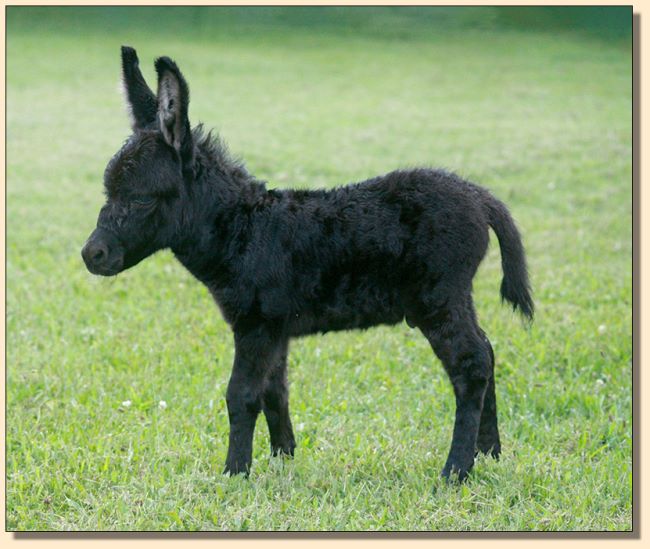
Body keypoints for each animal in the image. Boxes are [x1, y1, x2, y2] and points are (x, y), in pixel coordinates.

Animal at [82, 49, 532, 482]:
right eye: (107, 191)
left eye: (140, 198)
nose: (91, 255)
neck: (244, 230)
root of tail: (477, 195)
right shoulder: (275, 328)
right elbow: (274, 391)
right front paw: (283, 459)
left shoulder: (255, 325)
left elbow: (241, 395)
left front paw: (234, 472)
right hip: (454, 297)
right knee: (487, 351)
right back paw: (489, 452)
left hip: (437, 297)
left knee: (471, 365)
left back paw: (456, 470)